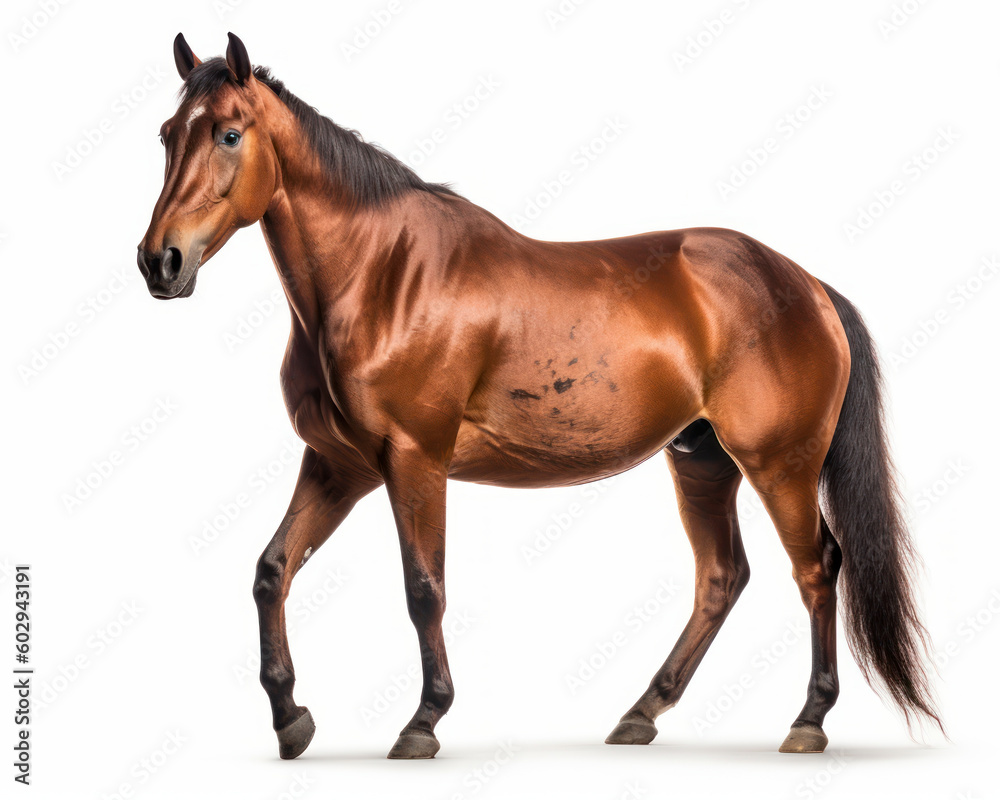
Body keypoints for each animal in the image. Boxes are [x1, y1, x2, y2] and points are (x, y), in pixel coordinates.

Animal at [137, 32, 940, 764]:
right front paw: (290, 719)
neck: (380, 275)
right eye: (169, 134)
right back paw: (641, 714)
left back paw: (808, 721)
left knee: (817, 569)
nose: (160, 261)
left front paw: (423, 722)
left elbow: (424, 587)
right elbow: (272, 571)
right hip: (701, 460)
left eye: (230, 133)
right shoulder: (340, 465)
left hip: (780, 465)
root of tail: (805, 283)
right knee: (721, 577)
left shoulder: (414, 460)